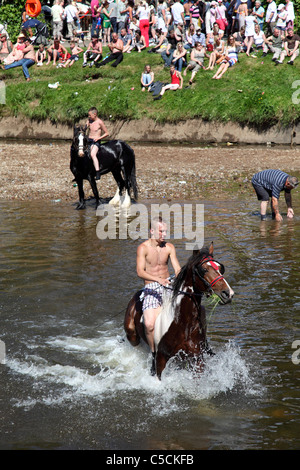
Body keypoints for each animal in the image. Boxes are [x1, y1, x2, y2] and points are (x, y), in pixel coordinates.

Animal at [124, 244, 234, 380]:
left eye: (220, 268)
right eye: (204, 269)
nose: (228, 293)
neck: (182, 323)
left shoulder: (197, 358)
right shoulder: (161, 359)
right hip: (132, 335)